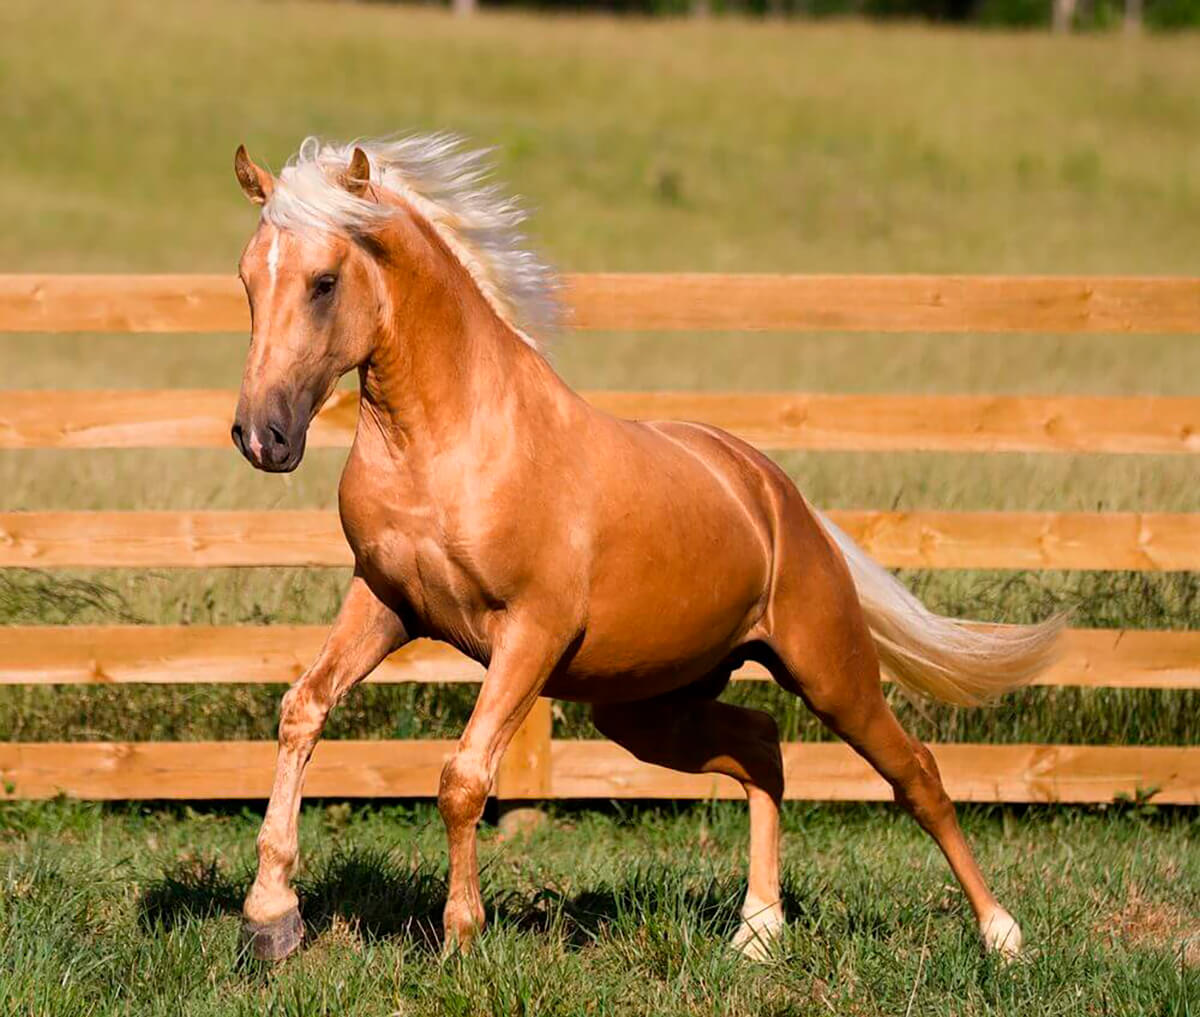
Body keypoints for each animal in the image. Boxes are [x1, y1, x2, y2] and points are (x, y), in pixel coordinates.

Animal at [231, 133, 1060, 959]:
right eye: (247, 279)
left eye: (325, 282)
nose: (262, 436)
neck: (449, 441)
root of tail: (776, 494)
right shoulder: (385, 602)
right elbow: (303, 708)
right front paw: (272, 916)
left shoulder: (530, 632)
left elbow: (463, 776)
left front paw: (462, 936)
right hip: (648, 706)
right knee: (762, 747)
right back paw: (757, 931)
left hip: (830, 672)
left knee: (915, 772)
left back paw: (1001, 932)